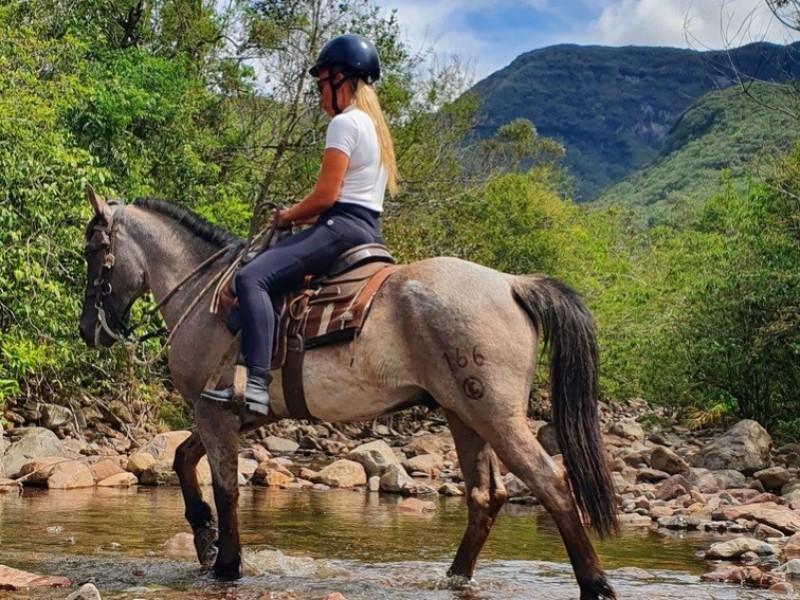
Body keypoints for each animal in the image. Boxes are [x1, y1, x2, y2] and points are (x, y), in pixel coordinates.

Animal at [79, 189, 620, 600]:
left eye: (94, 253)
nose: (89, 330)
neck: (207, 297)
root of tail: (512, 283)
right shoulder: (233, 415)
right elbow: (183, 460)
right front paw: (204, 537)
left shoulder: (216, 415)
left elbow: (227, 487)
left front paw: (226, 564)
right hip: (462, 414)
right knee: (486, 496)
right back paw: (453, 578)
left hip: (496, 415)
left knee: (551, 483)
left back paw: (595, 586)